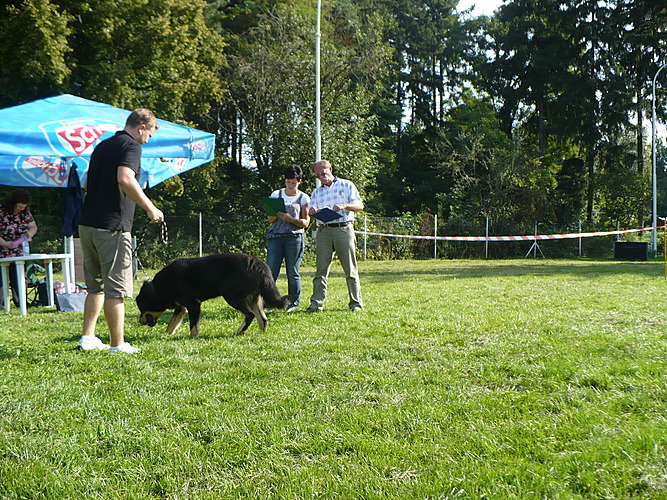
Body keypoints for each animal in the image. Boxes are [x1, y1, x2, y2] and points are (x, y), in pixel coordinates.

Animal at [137, 254, 290, 336]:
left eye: (142, 308)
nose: (140, 321)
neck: (158, 288)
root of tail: (257, 263)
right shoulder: (182, 308)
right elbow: (171, 325)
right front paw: (166, 335)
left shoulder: (193, 304)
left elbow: (193, 325)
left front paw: (193, 337)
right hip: (254, 299)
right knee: (262, 318)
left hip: (232, 297)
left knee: (250, 315)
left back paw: (239, 331)